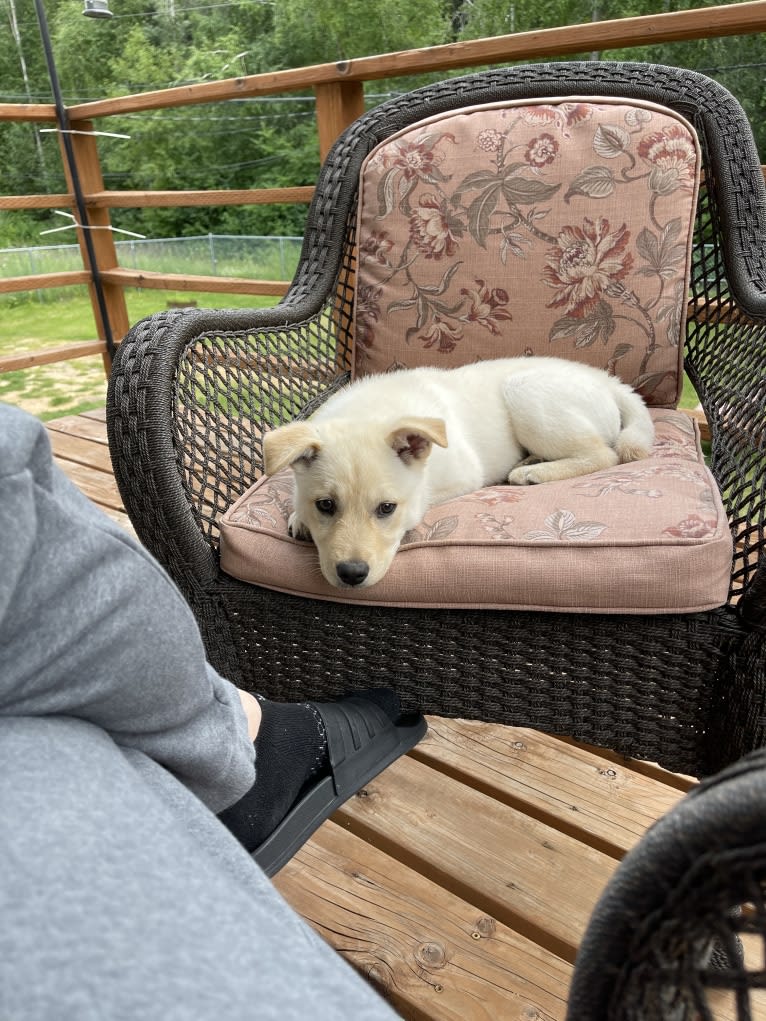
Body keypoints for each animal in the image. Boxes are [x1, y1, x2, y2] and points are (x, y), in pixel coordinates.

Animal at [263, 357, 653, 592]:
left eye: (387, 509)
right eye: (326, 505)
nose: (352, 574)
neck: (369, 414)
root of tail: (607, 381)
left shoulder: (465, 476)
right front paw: (298, 516)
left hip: (526, 392)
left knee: (604, 453)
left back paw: (534, 473)